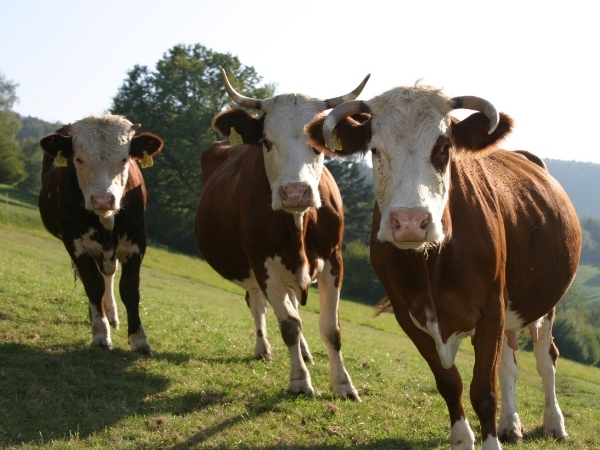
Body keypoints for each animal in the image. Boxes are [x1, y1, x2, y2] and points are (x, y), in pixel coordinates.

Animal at [39, 115, 164, 356]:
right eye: (78, 159)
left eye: (125, 159)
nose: (103, 200)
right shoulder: (74, 242)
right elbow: (93, 285)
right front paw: (100, 333)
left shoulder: (137, 243)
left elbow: (130, 290)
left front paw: (139, 340)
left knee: (108, 275)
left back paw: (111, 315)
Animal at [192, 68, 370, 400]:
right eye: (266, 141)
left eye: (318, 143)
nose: (295, 192)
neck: (298, 222)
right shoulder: (262, 263)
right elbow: (288, 325)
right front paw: (299, 381)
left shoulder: (334, 260)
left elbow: (331, 328)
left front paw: (343, 385)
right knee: (259, 305)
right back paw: (264, 348)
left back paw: (307, 353)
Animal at [304, 82, 580, 448]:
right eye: (375, 150)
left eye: (445, 148)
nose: (409, 222)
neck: (430, 265)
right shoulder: (408, 314)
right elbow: (450, 383)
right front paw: (463, 439)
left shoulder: (491, 308)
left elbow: (484, 392)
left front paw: (491, 441)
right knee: (509, 364)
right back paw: (511, 424)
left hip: (545, 305)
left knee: (546, 359)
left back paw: (554, 424)